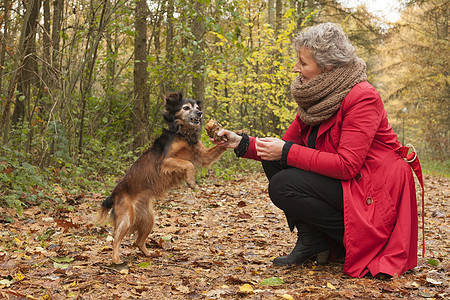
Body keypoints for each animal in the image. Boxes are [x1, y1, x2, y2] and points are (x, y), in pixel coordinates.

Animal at [97, 92, 227, 264]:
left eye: (197, 107)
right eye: (186, 107)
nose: (200, 113)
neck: (183, 134)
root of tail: (113, 194)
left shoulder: (203, 156)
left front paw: (232, 136)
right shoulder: (164, 162)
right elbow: (188, 164)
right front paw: (191, 181)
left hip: (149, 219)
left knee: (138, 242)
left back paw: (150, 254)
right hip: (127, 218)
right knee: (116, 239)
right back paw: (116, 259)